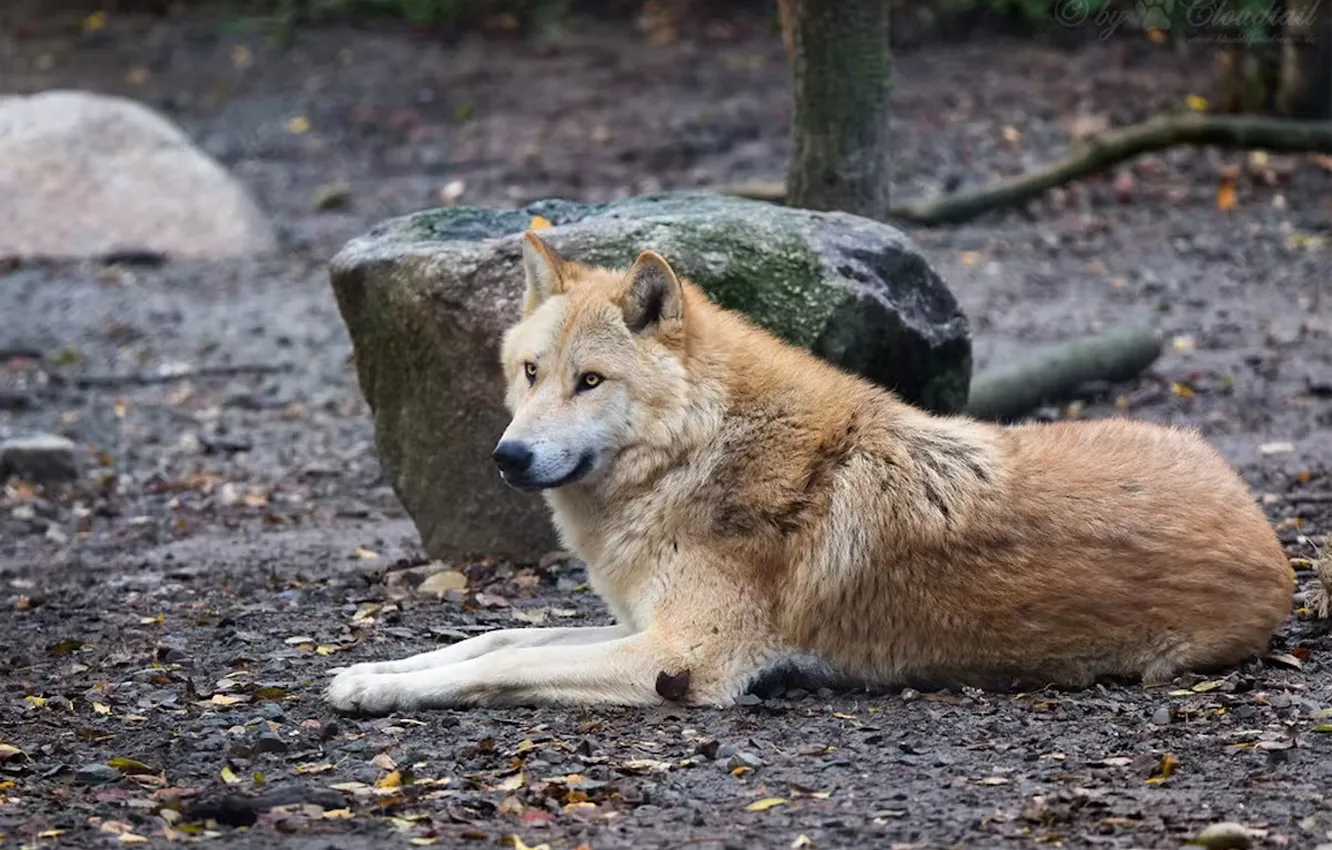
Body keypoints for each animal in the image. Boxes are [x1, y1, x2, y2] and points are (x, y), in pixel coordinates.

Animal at [325, 232, 1293, 715]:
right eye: (530, 373)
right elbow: (495, 639)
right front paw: (376, 672)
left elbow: (506, 662)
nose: (508, 456)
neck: (698, 457)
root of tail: (1269, 534)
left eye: (589, 381)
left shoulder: (684, 661)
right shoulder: (638, 623)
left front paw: (379, 690)